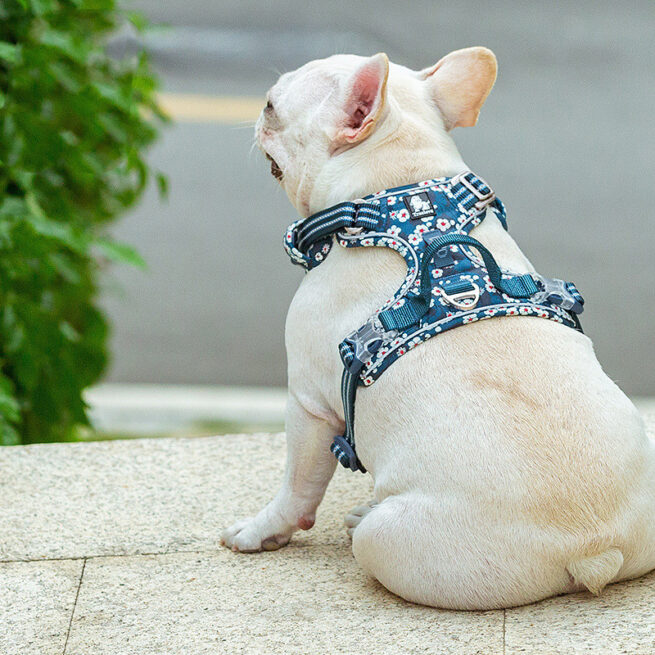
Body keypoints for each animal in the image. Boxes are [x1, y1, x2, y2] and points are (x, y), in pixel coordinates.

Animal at [222, 46, 655, 608]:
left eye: (272, 106)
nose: (259, 113)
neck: (403, 196)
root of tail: (596, 549)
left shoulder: (307, 405)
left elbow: (296, 488)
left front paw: (258, 532)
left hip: (389, 541)